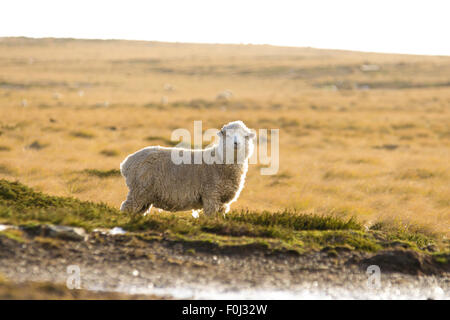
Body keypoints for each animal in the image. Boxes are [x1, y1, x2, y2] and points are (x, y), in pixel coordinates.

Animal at [119, 121, 255, 216]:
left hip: (145, 196)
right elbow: (211, 216)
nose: (236, 143)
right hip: (139, 190)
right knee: (126, 208)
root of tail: (126, 163)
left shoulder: (223, 201)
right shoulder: (211, 194)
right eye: (227, 135)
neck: (220, 160)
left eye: (245, 136)